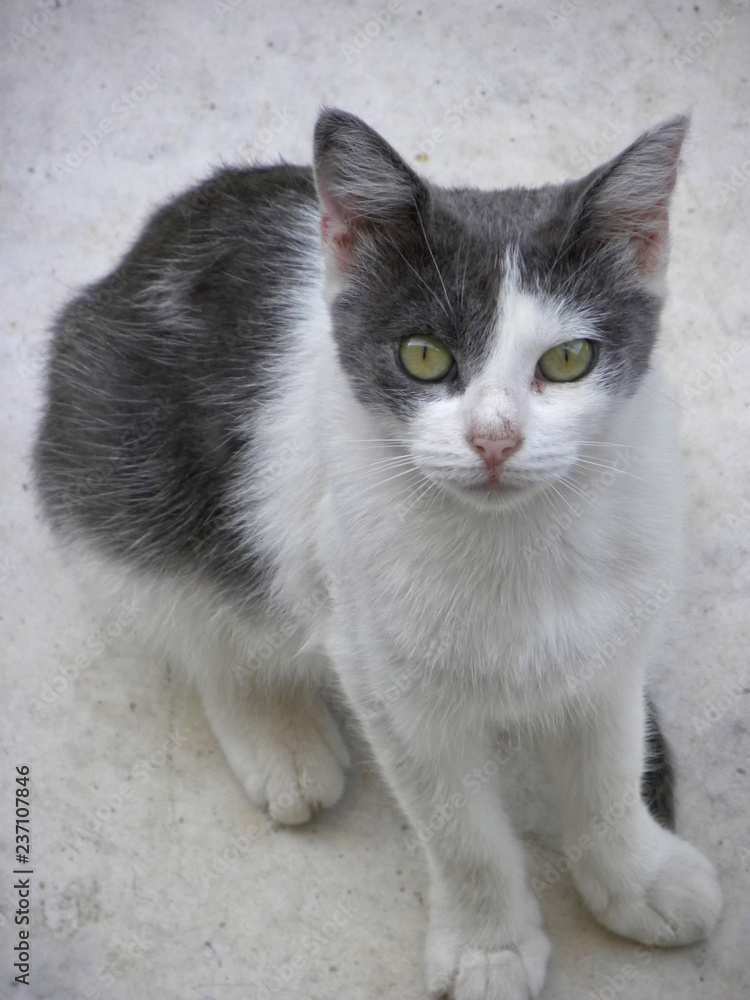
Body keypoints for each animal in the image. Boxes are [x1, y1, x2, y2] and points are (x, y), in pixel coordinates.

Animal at [34, 107, 722, 1000]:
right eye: (423, 355)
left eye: (569, 360)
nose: (494, 439)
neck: (519, 541)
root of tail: (130, 262)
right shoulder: (389, 680)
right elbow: (461, 830)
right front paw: (488, 948)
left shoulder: (614, 642)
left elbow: (608, 769)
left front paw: (636, 880)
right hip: (116, 482)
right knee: (202, 620)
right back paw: (279, 732)